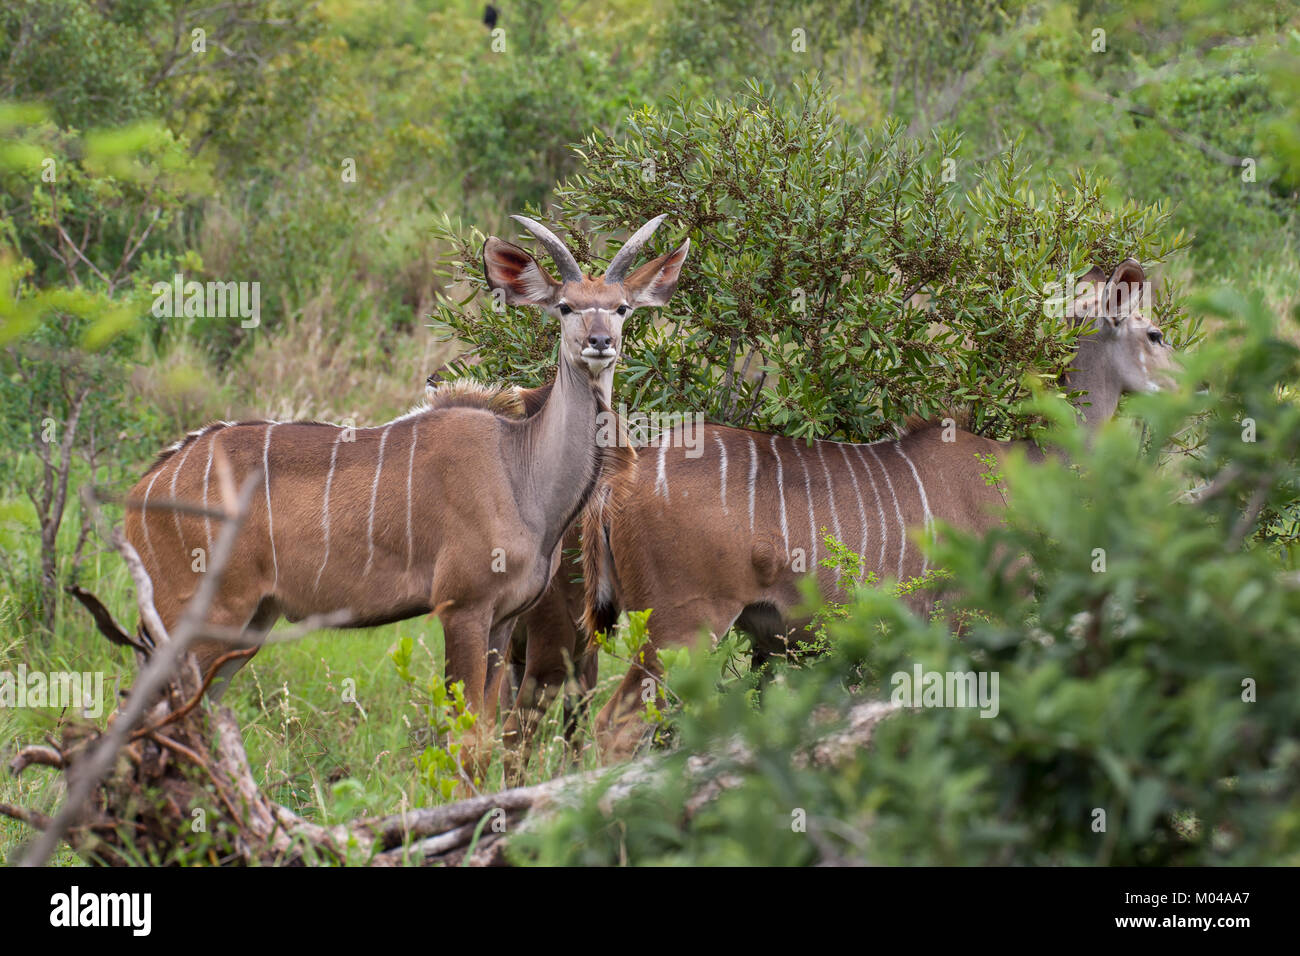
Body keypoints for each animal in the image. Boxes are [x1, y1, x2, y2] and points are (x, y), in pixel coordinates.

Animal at [585, 257, 1175, 759]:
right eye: (1155, 334)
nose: (1192, 384)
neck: (1023, 465)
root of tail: (620, 481)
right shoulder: (971, 616)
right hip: (680, 627)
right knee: (616, 726)